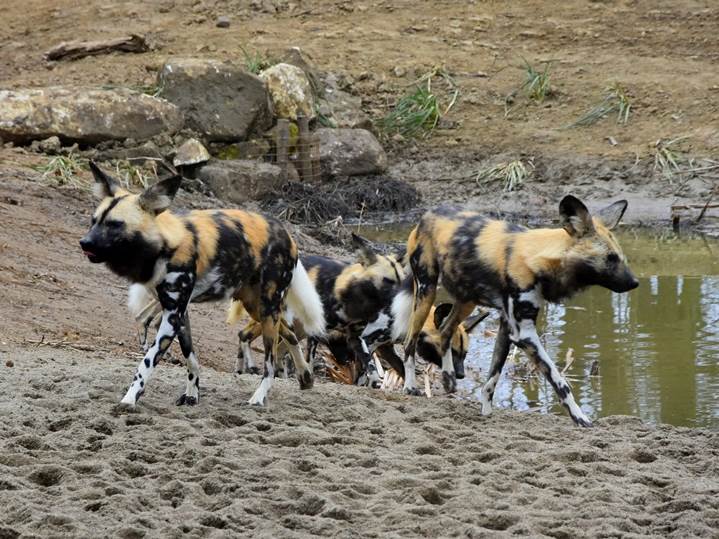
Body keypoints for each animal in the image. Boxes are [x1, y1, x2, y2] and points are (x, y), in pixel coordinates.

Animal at [80, 162, 324, 408]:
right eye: (94, 221)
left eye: (115, 225)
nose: (84, 243)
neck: (165, 246)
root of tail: (287, 235)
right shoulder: (179, 314)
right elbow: (191, 360)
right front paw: (192, 394)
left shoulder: (172, 316)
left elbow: (147, 362)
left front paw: (130, 398)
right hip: (257, 308)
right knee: (290, 334)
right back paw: (305, 377)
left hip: (267, 309)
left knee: (270, 363)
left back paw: (259, 396)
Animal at [402, 196, 640, 428]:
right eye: (610, 258)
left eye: (620, 256)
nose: (635, 283)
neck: (539, 259)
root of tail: (429, 213)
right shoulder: (524, 334)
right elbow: (560, 381)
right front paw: (580, 418)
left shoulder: (506, 327)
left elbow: (492, 378)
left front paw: (486, 413)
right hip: (426, 292)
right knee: (409, 343)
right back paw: (410, 387)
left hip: (467, 301)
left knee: (445, 331)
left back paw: (448, 378)